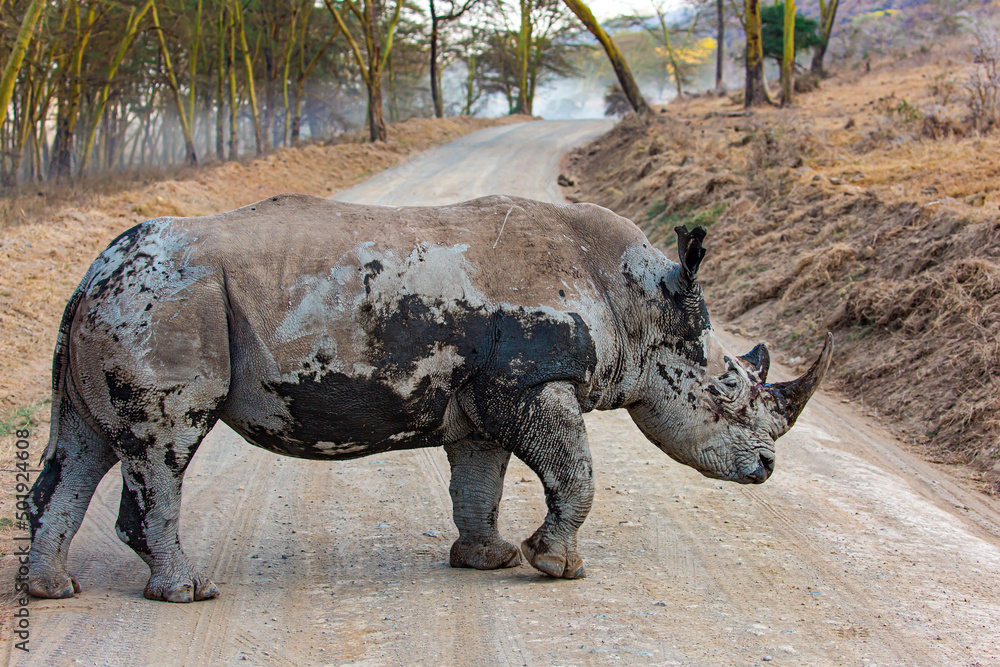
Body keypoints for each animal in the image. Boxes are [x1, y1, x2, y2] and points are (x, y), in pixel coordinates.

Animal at [27, 193, 831, 603]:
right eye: (727, 390)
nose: (766, 468)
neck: (637, 301)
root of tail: (92, 270)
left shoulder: (485, 395)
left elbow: (480, 480)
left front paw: (488, 559)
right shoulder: (530, 380)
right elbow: (575, 473)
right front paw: (556, 567)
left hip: (126, 303)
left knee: (83, 445)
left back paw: (53, 589)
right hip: (168, 302)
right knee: (164, 445)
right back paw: (188, 591)